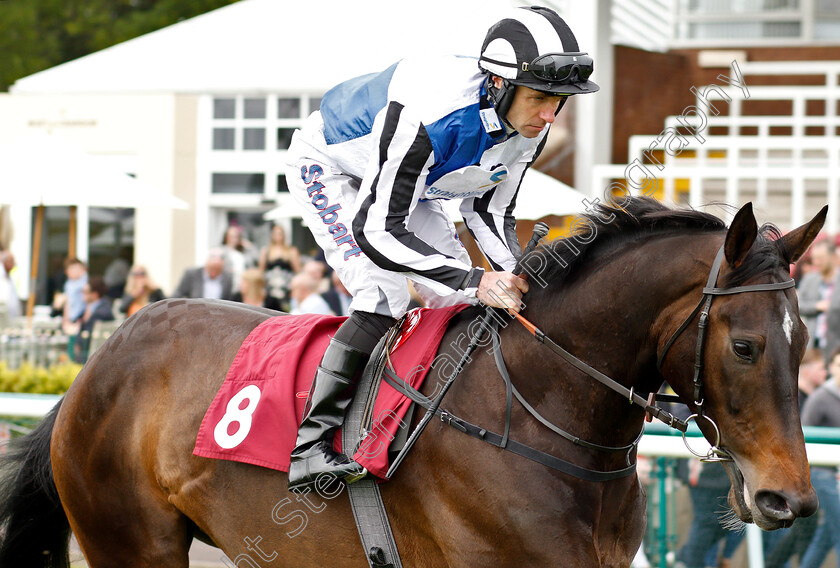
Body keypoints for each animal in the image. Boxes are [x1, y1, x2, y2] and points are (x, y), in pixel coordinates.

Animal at [0, 197, 824, 564]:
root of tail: (92, 370)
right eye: (746, 346)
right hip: (130, 542)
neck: (537, 411)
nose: (789, 499)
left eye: (807, 338)